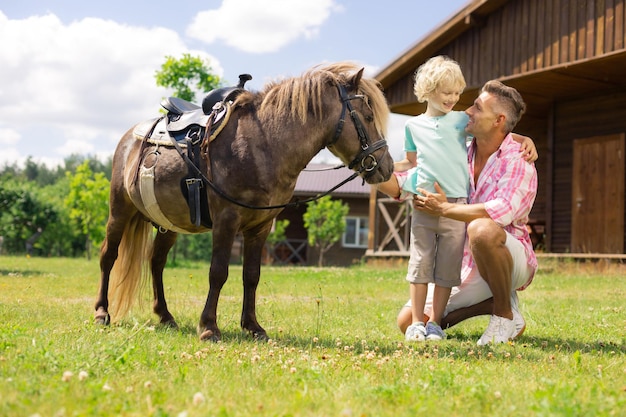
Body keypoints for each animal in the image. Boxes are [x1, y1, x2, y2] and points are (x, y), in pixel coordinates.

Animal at [95, 62, 392, 342]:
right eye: (367, 116)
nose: (386, 166)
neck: (264, 144)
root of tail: (129, 137)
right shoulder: (226, 221)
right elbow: (218, 272)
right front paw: (208, 327)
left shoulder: (260, 227)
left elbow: (251, 275)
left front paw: (252, 326)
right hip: (119, 211)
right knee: (108, 256)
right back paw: (102, 312)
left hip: (169, 224)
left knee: (156, 262)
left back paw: (166, 316)